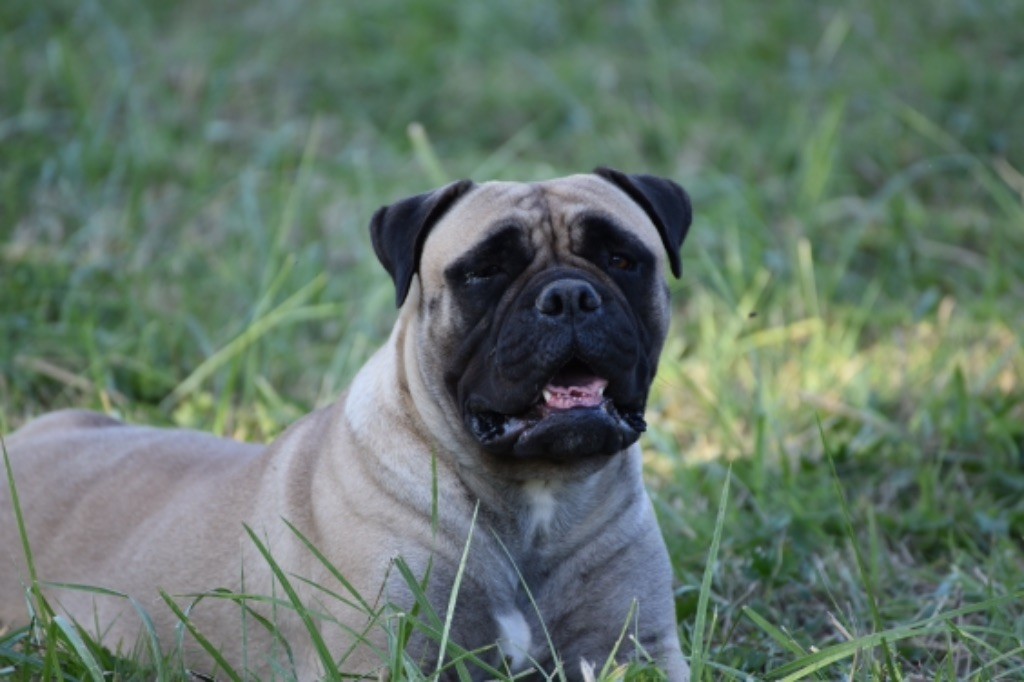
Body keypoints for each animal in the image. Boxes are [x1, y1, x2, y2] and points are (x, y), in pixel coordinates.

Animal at [0, 166, 696, 675]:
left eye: (623, 258)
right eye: (484, 271)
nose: (569, 296)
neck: (534, 499)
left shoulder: (638, 650)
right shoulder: (384, 657)